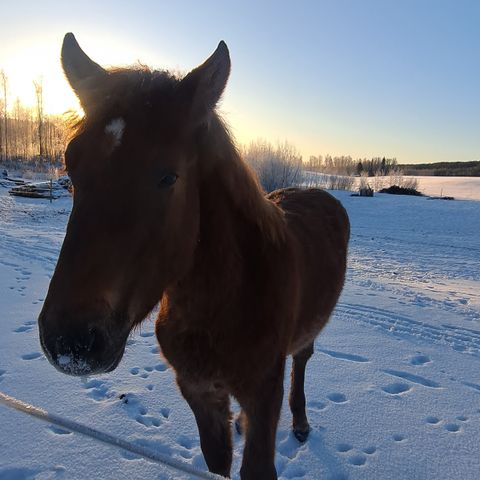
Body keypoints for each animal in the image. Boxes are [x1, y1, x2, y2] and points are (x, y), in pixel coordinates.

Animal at [38, 32, 348, 476]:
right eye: (71, 163)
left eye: (169, 176)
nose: (70, 342)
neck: (227, 302)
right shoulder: (199, 392)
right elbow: (217, 460)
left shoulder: (264, 395)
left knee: (303, 358)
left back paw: (301, 422)